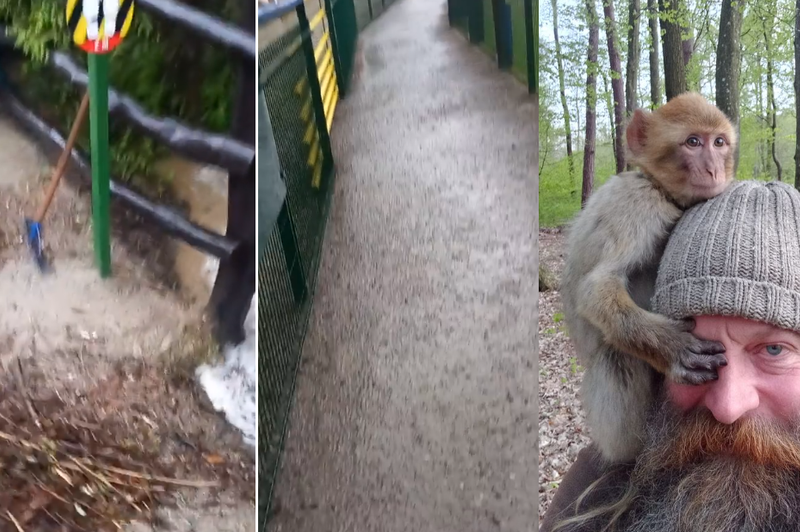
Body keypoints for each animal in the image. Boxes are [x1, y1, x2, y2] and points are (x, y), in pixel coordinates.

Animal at [560, 92, 736, 466]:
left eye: (719, 142)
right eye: (693, 142)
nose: (714, 169)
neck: (661, 190)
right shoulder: (637, 204)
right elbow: (596, 290)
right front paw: (672, 347)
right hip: (614, 432)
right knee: (617, 356)